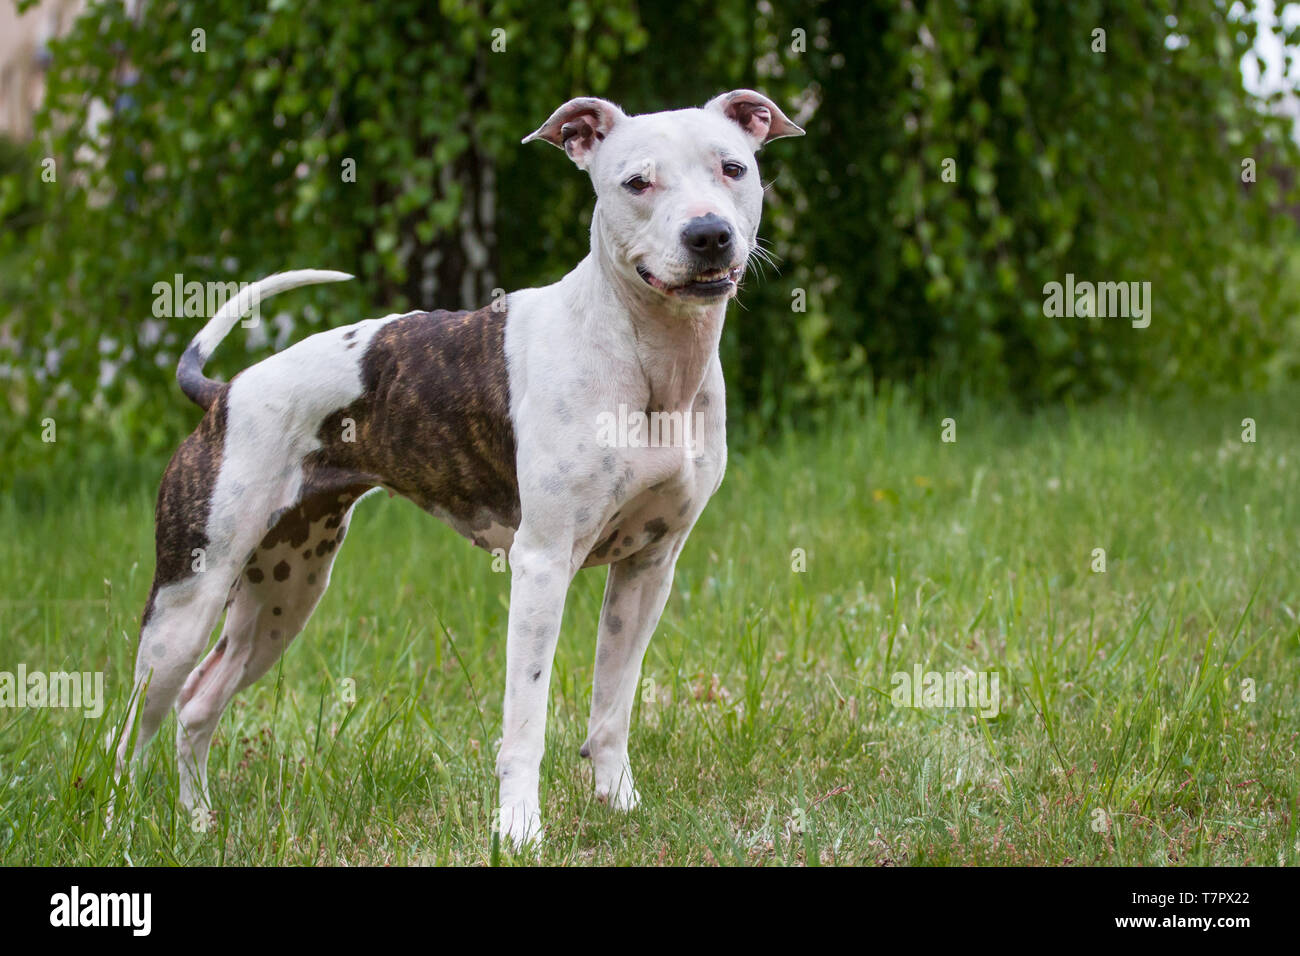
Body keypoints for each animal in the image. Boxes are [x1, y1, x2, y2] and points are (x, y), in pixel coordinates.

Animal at [114, 89, 800, 848]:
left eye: (732, 168)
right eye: (637, 182)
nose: (709, 234)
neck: (648, 361)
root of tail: (222, 393)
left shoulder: (649, 567)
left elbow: (612, 708)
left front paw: (619, 805)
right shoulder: (541, 566)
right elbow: (525, 724)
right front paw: (519, 831)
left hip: (281, 597)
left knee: (198, 703)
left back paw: (199, 822)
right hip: (186, 601)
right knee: (131, 729)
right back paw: (118, 822)